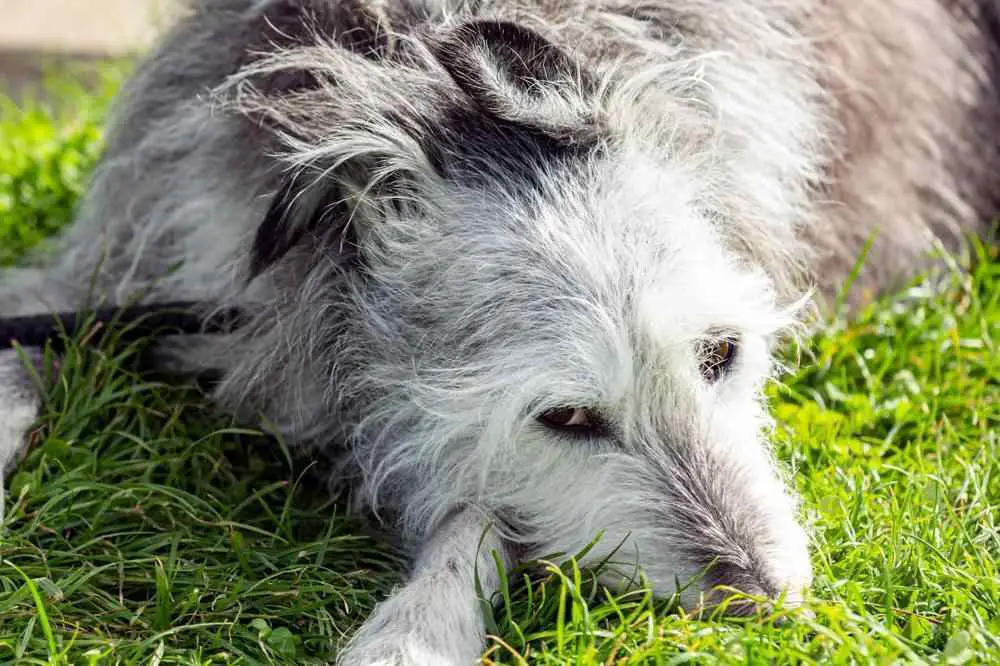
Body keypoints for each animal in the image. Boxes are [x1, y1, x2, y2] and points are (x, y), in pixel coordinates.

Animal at [0, 1, 996, 664]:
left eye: (722, 354)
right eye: (567, 418)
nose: (767, 605)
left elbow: (472, 511)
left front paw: (411, 632)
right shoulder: (144, 246)